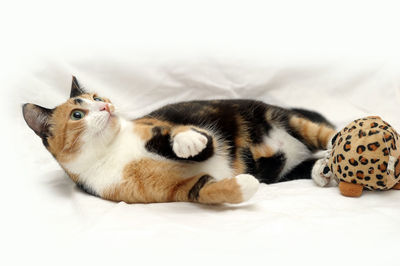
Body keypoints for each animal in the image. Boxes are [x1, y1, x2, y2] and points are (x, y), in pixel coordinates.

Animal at [21, 76, 334, 205]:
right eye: (77, 114)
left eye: (97, 97)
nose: (106, 106)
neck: (113, 152)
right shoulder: (173, 190)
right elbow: (203, 189)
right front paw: (244, 185)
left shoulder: (159, 127)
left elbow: (190, 139)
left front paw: (186, 143)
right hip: (283, 170)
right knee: (309, 163)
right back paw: (323, 171)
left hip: (277, 116)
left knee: (324, 133)